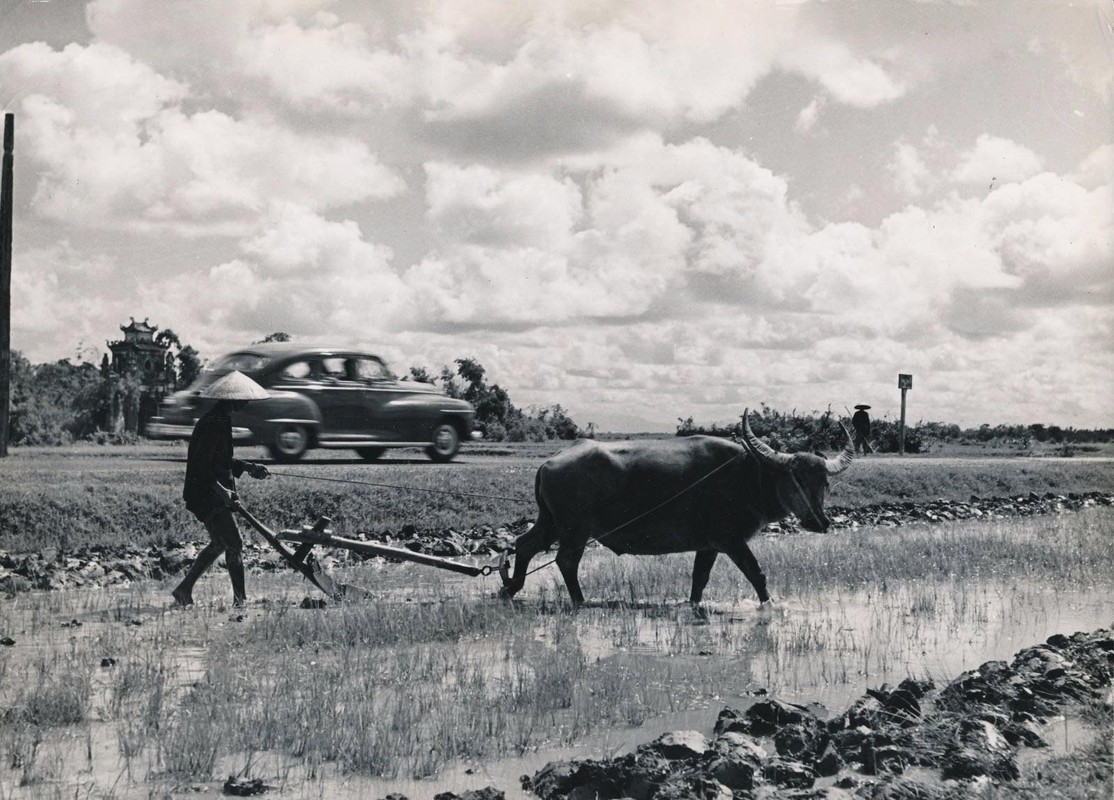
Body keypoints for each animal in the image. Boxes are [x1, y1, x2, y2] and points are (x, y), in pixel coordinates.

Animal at [501, 410, 855, 606]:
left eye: (824, 483)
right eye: (794, 479)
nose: (821, 522)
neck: (747, 476)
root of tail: (550, 462)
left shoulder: (709, 546)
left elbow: (699, 580)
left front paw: (693, 604)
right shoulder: (730, 541)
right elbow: (757, 574)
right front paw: (770, 606)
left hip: (551, 521)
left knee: (525, 544)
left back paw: (511, 588)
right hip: (575, 528)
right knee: (566, 560)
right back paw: (579, 600)